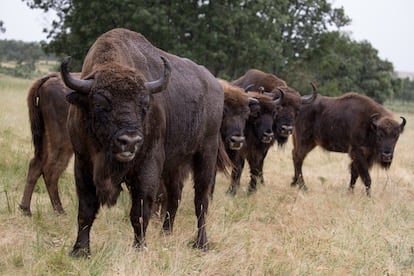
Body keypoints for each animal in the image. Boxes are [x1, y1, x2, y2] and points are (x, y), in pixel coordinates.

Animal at [19, 73, 75, 216]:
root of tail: (50, 78)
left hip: (45, 138)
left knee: (36, 165)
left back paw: (26, 209)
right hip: (63, 142)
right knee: (50, 170)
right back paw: (60, 211)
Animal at [60, 28, 230, 256]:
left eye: (145, 104)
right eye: (100, 103)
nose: (130, 141)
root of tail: (215, 85)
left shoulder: (148, 165)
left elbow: (140, 211)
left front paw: (139, 248)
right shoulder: (83, 162)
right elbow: (86, 210)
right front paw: (80, 251)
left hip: (206, 153)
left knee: (201, 200)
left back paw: (201, 244)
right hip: (174, 165)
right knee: (175, 196)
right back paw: (166, 234)